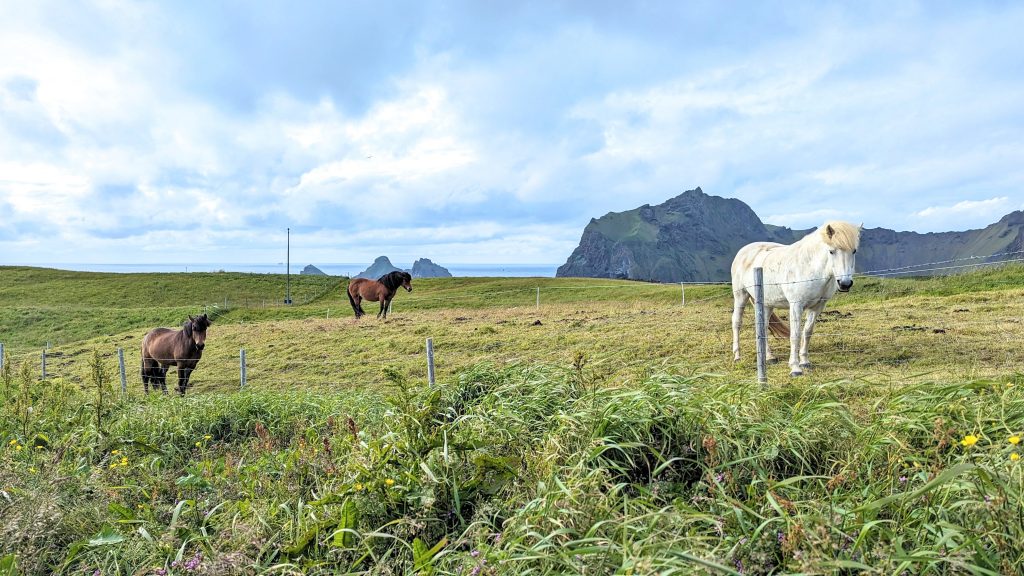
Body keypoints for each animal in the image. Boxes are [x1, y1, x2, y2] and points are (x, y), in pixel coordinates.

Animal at [729, 220, 864, 377]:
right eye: (831, 251)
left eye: (854, 251)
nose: (845, 284)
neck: (810, 268)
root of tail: (743, 252)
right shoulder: (796, 305)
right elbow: (795, 335)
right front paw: (795, 368)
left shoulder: (817, 307)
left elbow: (807, 332)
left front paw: (805, 361)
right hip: (740, 296)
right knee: (737, 322)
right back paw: (737, 356)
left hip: (767, 304)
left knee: (763, 326)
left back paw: (769, 357)